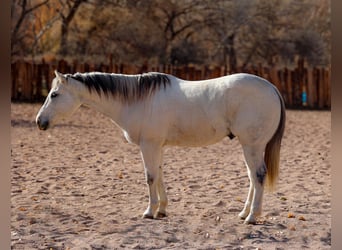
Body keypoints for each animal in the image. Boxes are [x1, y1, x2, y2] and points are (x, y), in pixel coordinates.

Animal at [36, 70, 284, 225]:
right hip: (248, 146)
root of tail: (271, 87)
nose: (40, 122)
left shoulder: (149, 145)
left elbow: (150, 177)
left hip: (252, 145)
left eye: (54, 94)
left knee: (258, 175)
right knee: (252, 177)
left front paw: (149, 211)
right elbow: (160, 175)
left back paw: (252, 217)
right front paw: (162, 210)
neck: (139, 100)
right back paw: (244, 213)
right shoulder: (157, 147)